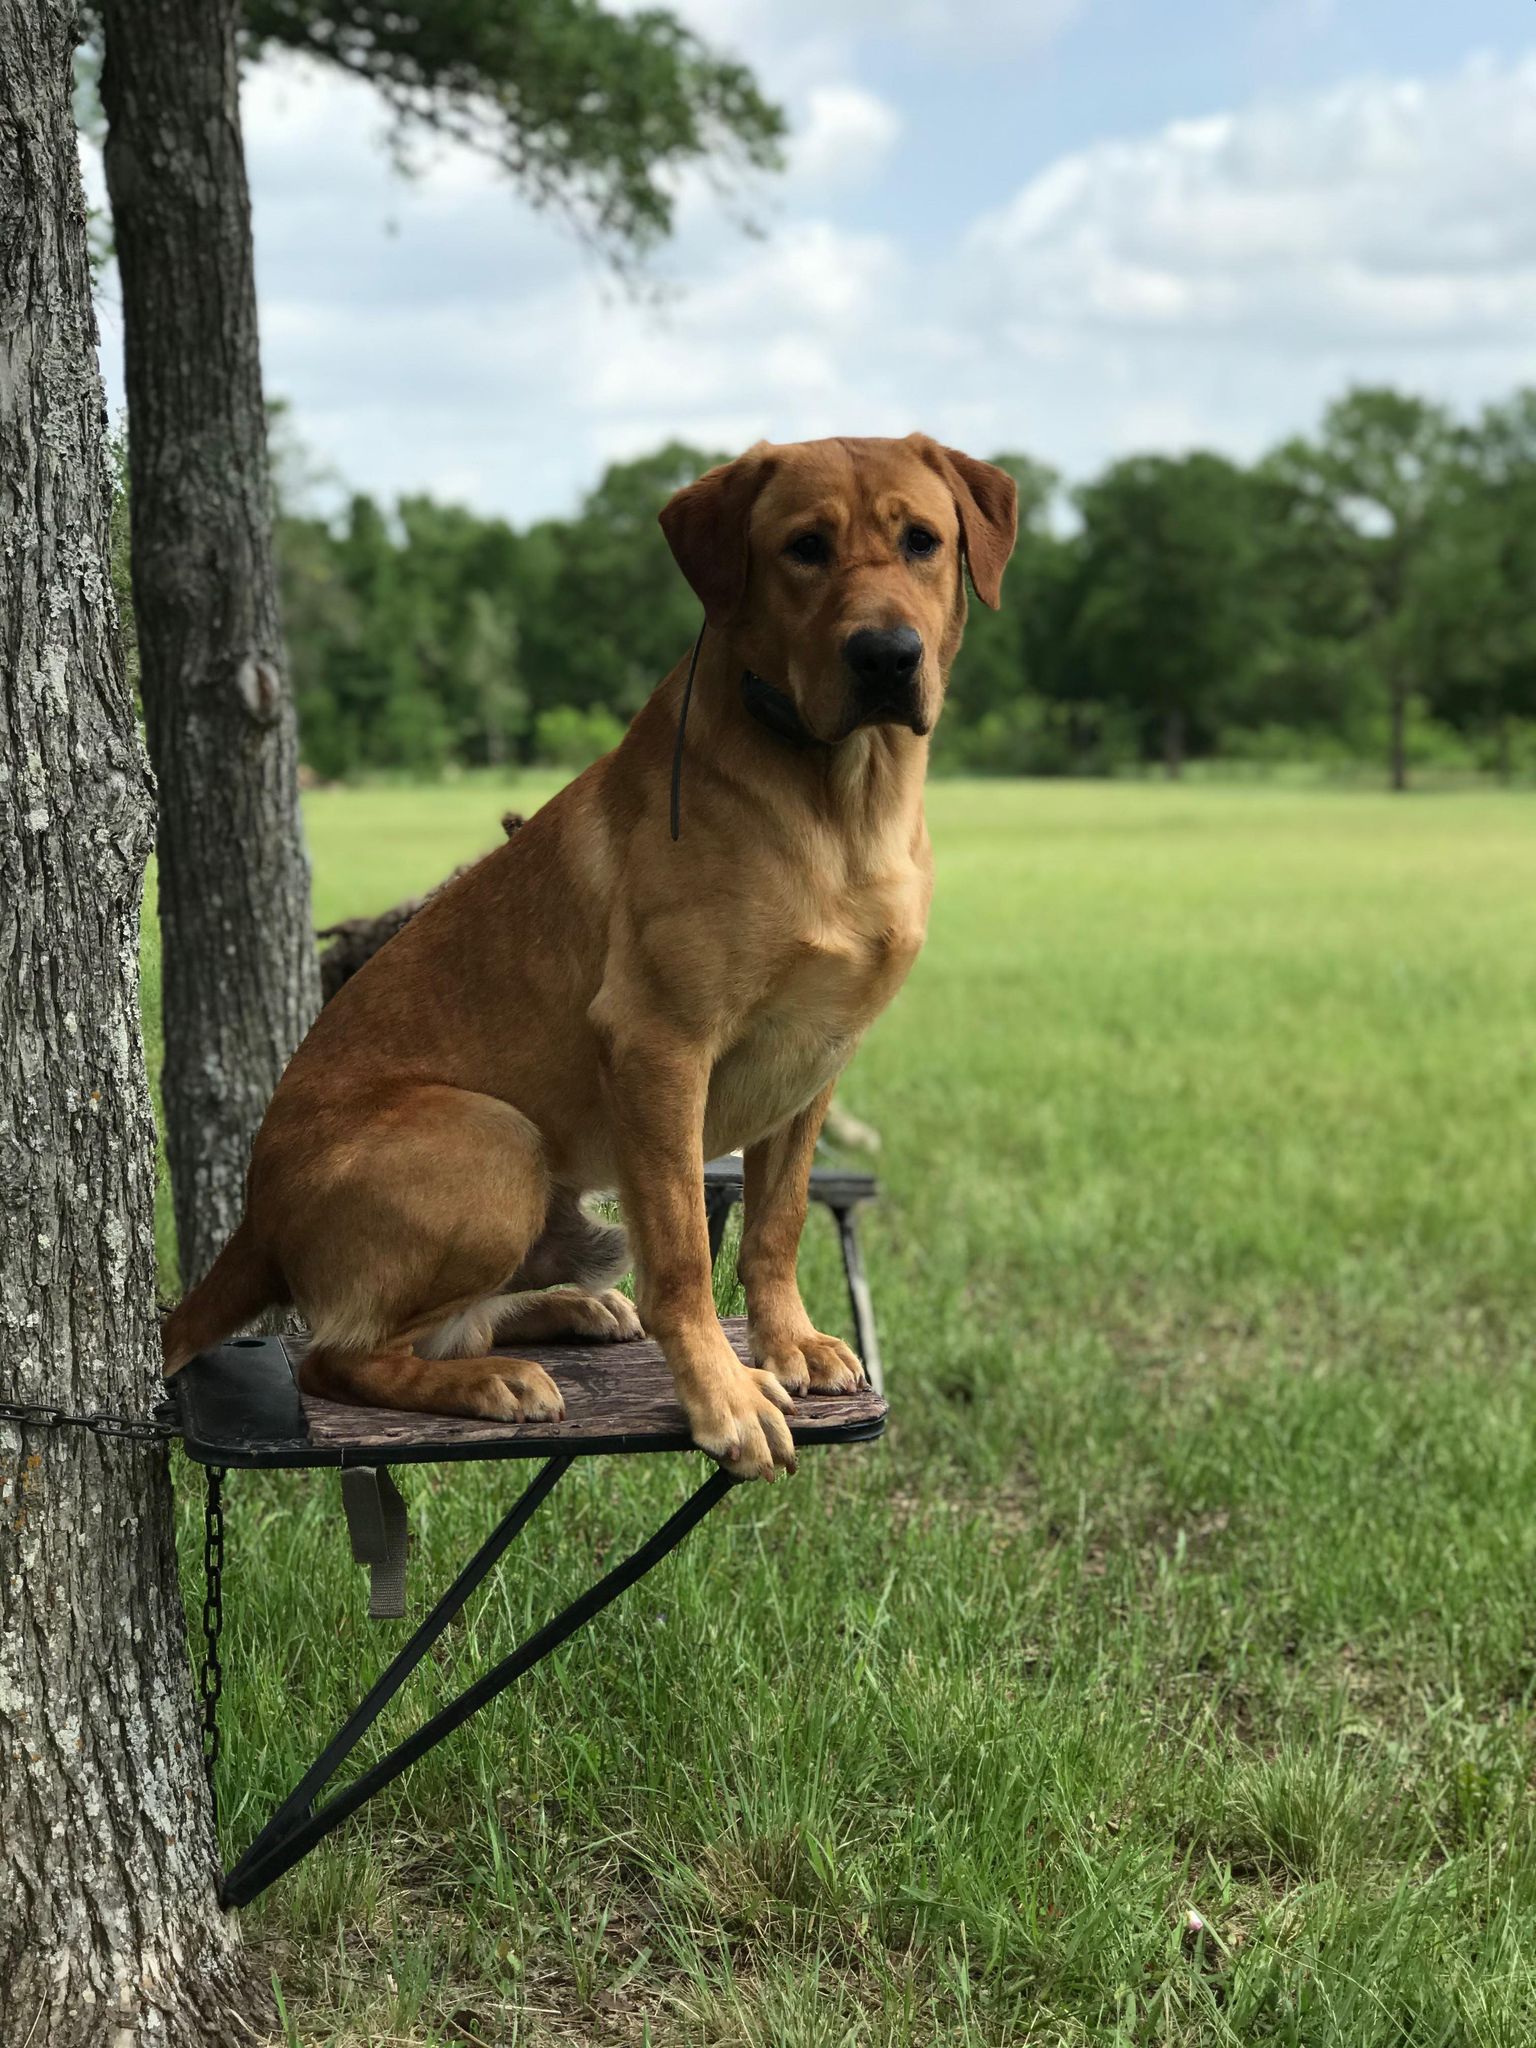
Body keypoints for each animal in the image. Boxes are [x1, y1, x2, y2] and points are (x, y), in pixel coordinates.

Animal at [162, 440, 1015, 1482]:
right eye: (805, 548)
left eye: (922, 541)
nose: (886, 655)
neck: (842, 801)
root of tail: (254, 1218)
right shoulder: (661, 1046)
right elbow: (685, 1258)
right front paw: (726, 1396)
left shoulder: (816, 1057)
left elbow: (775, 1229)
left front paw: (788, 1344)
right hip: (493, 1138)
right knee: (338, 1354)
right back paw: (490, 1381)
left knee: (453, 1322)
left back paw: (566, 1310)